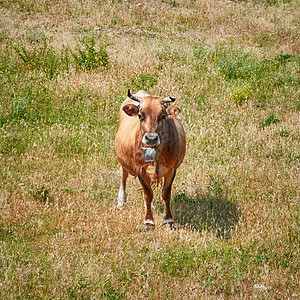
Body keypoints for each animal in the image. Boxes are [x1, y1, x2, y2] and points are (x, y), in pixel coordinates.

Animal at [114, 89, 185, 230]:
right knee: (123, 176)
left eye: (163, 116)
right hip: (123, 162)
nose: (151, 138)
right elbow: (148, 194)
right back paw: (121, 201)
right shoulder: (140, 170)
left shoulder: (172, 169)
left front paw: (168, 220)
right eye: (140, 115)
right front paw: (148, 221)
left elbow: (166, 194)